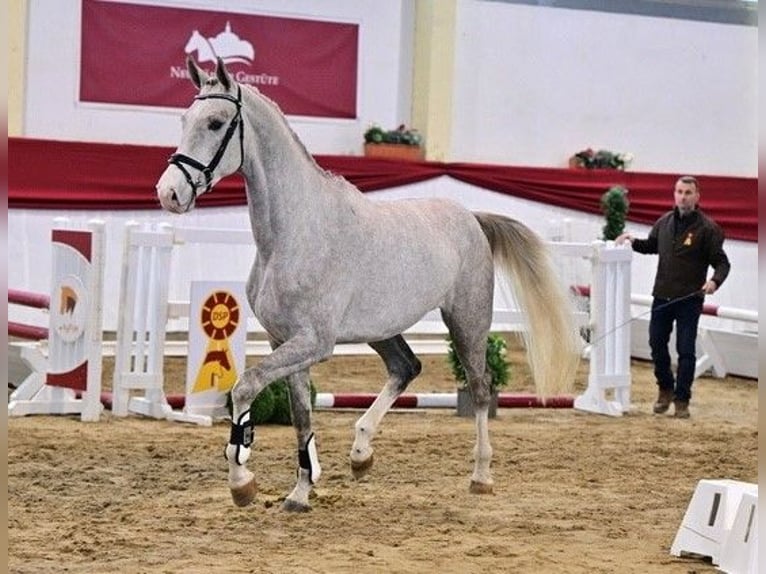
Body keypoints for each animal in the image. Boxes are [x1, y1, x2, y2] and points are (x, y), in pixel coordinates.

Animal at [159, 55, 584, 512]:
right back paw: (361, 454)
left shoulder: (313, 342)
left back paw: (481, 476)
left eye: (216, 123)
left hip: (467, 321)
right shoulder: (284, 341)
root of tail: (471, 218)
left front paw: (242, 482)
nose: (169, 193)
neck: (296, 231)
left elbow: (245, 386)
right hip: (382, 330)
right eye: (184, 120)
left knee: (481, 387)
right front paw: (300, 492)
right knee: (406, 367)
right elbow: (300, 416)